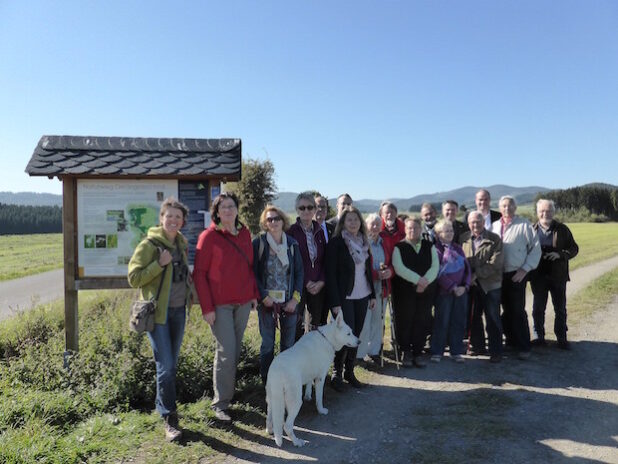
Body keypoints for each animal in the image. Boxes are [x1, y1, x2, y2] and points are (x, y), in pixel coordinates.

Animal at [262, 310, 358, 448]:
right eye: (349, 333)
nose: (359, 341)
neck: (327, 339)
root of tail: (277, 370)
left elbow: (308, 384)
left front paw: (308, 395)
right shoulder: (320, 378)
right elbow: (319, 398)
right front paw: (321, 410)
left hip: (272, 399)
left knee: (270, 417)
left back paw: (271, 431)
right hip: (295, 402)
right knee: (287, 426)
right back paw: (297, 442)